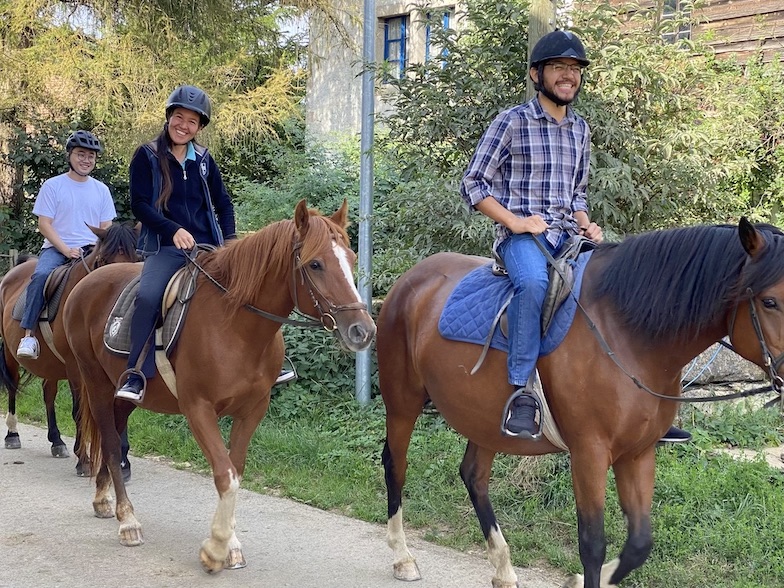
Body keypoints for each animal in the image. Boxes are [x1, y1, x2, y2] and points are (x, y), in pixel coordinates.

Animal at [0, 222, 139, 474]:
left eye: (135, 258)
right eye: (103, 260)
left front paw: (122, 461)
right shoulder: (76, 366)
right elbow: (79, 410)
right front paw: (83, 460)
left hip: (50, 363)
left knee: (48, 392)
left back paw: (56, 441)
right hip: (10, 353)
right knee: (13, 386)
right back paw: (12, 434)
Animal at [62, 200, 376, 572]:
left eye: (352, 258)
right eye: (315, 264)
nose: (362, 330)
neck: (235, 326)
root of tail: (86, 283)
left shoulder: (252, 411)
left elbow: (235, 471)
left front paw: (230, 545)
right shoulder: (198, 409)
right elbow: (225, 475)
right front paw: (215, 549)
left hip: (123, 393)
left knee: (114, 432)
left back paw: (102, 498)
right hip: (95, 383)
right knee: (110, 444)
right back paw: (128, 521)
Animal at [374, 219, 784, 588]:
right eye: (769, 301)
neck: (628, 334)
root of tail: (411, 279)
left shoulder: (638, 452)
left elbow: (639, 544)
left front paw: (578, 578)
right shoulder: (589, 452)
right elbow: (592, 544)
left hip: (486, 420)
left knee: (474, 476)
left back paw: (503, 571)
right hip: (403, 402)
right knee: (396, 465)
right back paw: (402, 557)